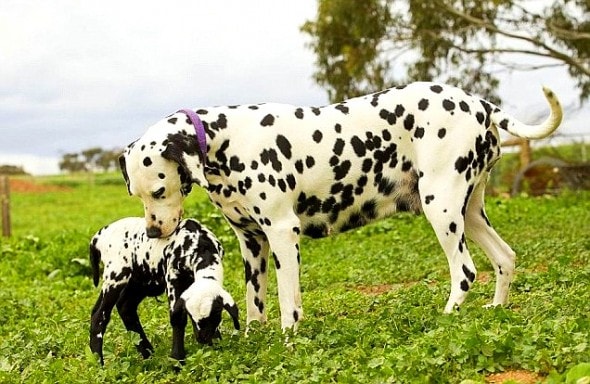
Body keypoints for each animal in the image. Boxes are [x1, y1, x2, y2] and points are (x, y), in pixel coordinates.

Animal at [89, 216, 240, 364]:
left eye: (216, 313)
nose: (203, 339)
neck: (200, 245)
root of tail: (98, 236)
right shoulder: (172, 278)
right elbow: (177, 318)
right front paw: (177, 360)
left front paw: (215, 349)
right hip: (116, 274)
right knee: (100, 315)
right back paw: (98, 363)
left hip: (139, 280)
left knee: (124, 307)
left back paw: (148, 354)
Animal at [119, 82, 564, 332]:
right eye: (135, 194)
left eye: (159, 190)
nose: (154, 231)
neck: (222, 140)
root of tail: (479, 102)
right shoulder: (252, 243)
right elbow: (254, 301)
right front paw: (253, 337)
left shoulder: (282, 234)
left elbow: (288, 301)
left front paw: (288, 339)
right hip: (468, 213)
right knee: (505, 259)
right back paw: (496, 309)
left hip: (442, 209)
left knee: (466, 272)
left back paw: (449, 315)